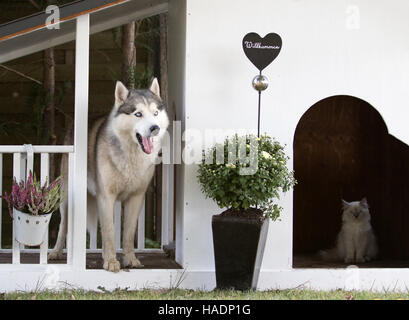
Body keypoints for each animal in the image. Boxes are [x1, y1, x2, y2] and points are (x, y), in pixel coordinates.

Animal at [49, 79, 169, 272]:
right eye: (138, 114)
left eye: (155, 113)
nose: (155, 128)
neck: (131, 155)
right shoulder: (106, 197)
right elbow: (109, 232)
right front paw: (111, 262)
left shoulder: (136, 198)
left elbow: (128, 234)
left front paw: (130, 259)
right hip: (67, 199)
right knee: (63, 226)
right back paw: (56, 252)